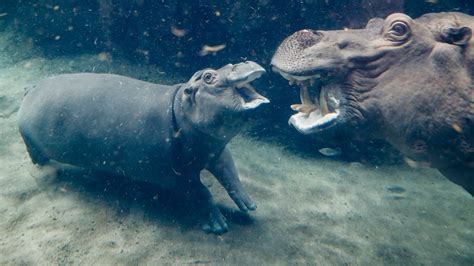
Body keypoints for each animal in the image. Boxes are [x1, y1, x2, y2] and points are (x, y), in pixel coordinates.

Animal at [17, 60, 270, 233]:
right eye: (208, 77)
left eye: (227, 64)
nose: (244, 61)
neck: (180, 108)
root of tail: (31, 88)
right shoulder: (175, 176)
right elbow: (201, 192)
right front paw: (217, 225)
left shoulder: (216, 149)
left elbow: (230, 172)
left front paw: (249, 205)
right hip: (29, 139)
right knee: (34, 153)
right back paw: (43, 166)